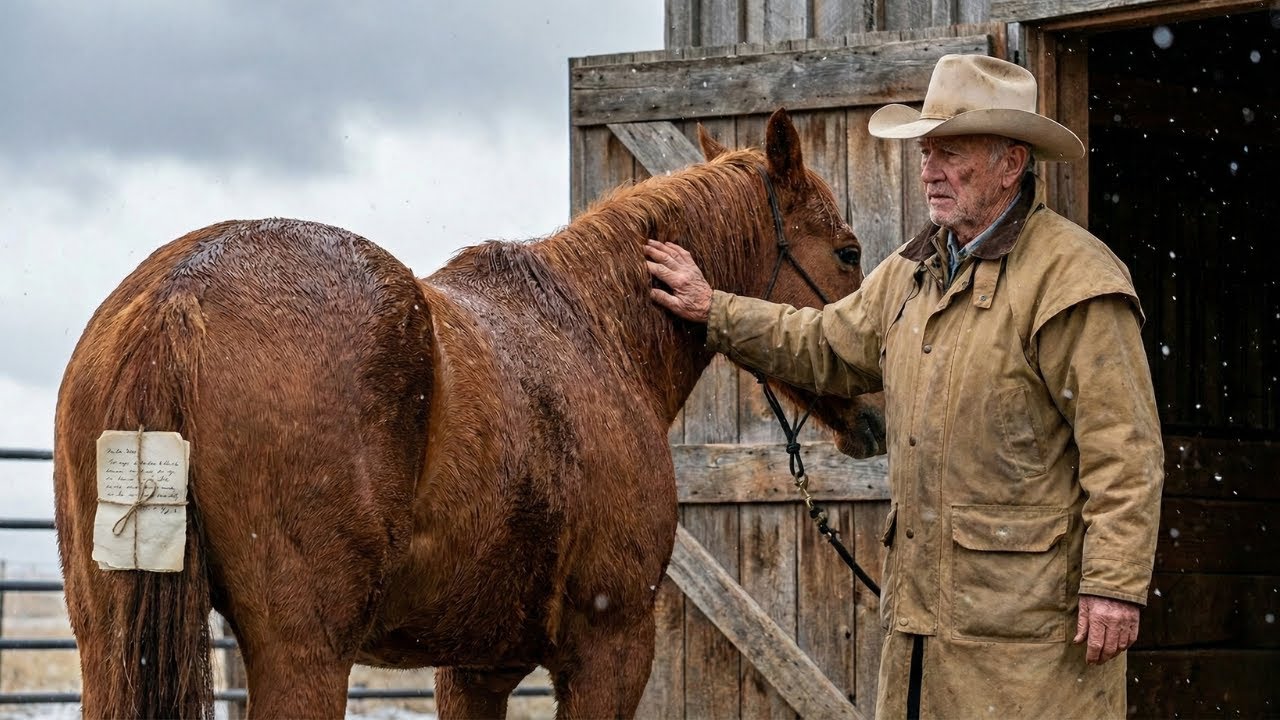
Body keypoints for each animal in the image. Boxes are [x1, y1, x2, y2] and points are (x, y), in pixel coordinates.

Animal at [53, 108, 885, 719]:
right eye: (847, 252)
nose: (877, 410)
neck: (595, 330)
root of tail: (180, 296)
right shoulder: (611, 649)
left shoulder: (475, 669)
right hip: (305, 655)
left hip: (108, 645)